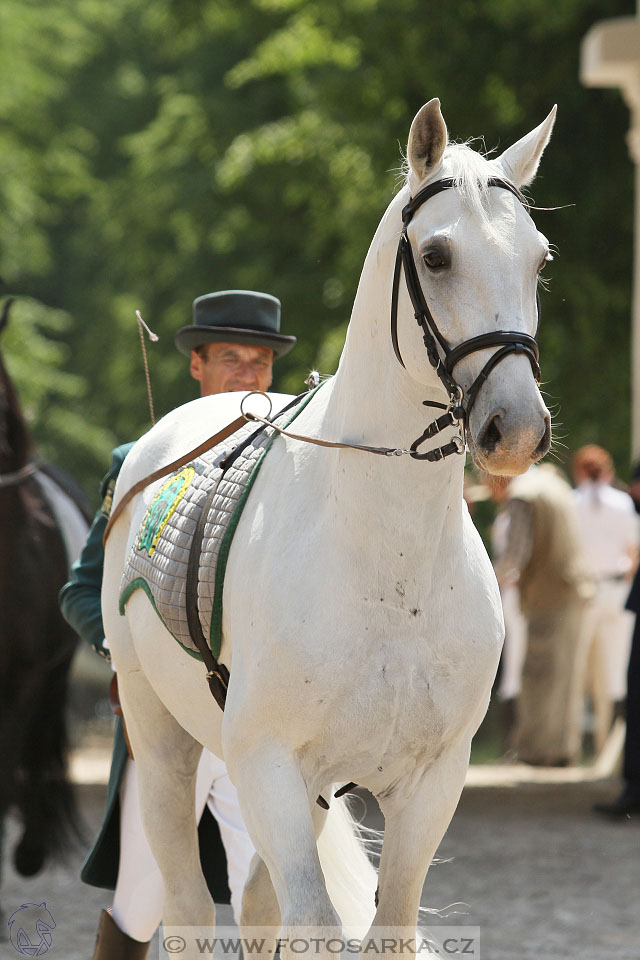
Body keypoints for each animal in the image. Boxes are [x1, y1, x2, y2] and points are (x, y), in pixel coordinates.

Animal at [104, 97, 556, 952]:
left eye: (539, 261)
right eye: (437, 256)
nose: (516, 428)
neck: (389, 563)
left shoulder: (430, 780)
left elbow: (387, 923)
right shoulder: (269, 764)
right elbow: (311, 922)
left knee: (255, 906)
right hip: (163, 742)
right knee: (186, 908)